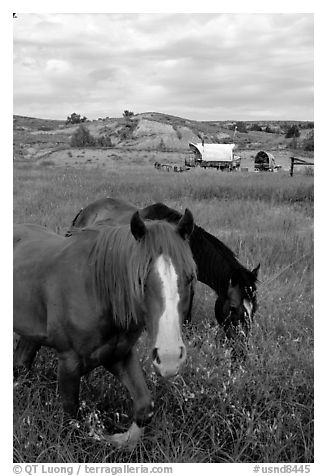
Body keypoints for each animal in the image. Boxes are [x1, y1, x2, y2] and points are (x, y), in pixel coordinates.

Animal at [14, 210, 196, 448]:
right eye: (140, 280)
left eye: (190, 278)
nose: (169, 358)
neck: (96, 288)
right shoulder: (69, 362)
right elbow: (72, 418)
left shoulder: (118, 355)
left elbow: (144, 408)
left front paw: (116, 439)